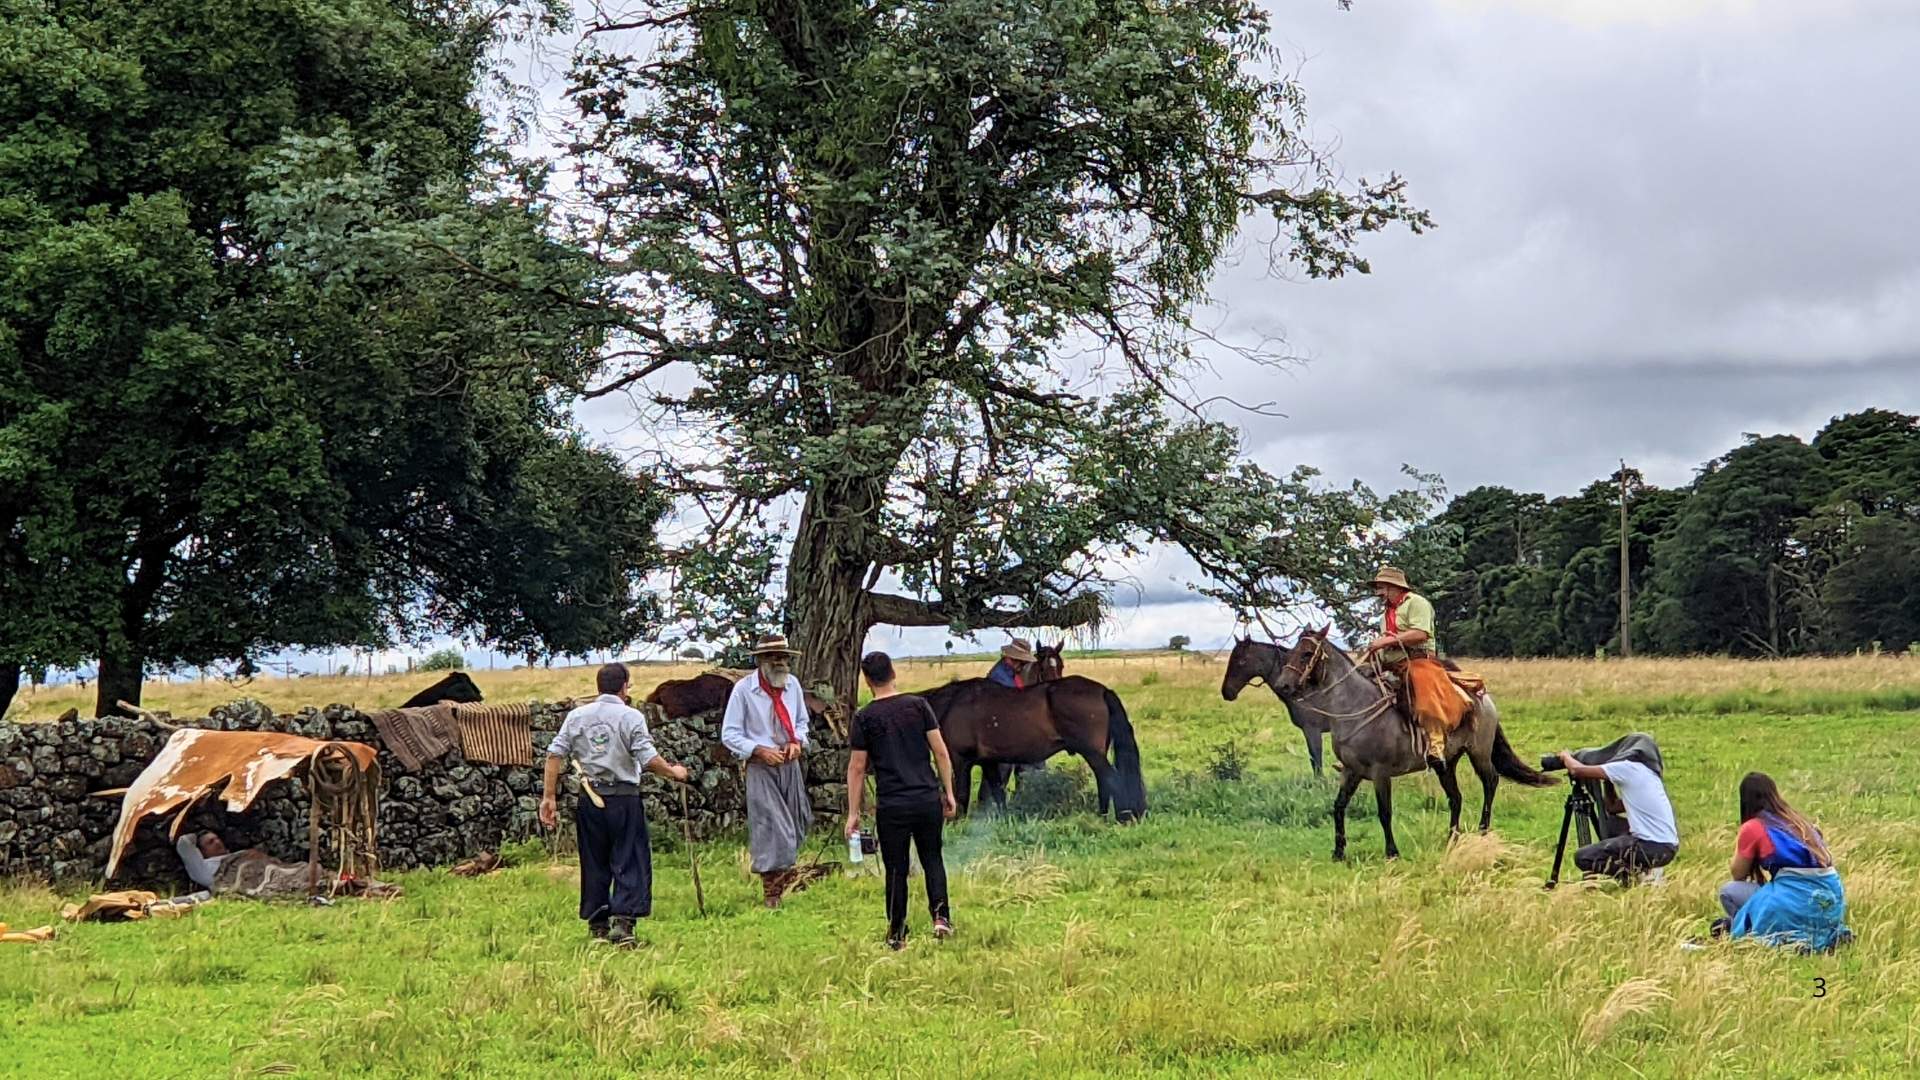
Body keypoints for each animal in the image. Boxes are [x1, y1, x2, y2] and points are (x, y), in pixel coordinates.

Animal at [925, 672, 1144, 814]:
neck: (951, 703)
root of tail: (1103, 691)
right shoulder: (988, 762)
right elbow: (998, 792)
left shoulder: (960, 760)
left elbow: (961, 796)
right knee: (1104, 781)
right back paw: (1103, 815)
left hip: (1093, 753)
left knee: (1112, 780)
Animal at [1259, 622, 1559, 857]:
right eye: (1292, 651)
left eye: (1307, 653)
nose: (1283, 685)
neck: (1353, 709)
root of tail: (1482, 697)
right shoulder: (1351, 771)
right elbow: (1338, 806)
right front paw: (1339, 851)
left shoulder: (1380, 773)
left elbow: (1384, 812)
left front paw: (1391, 852)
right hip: (1446, 762)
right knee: (1456, 797)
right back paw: (1452, 838)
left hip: (1479, 753)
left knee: (1491, 782)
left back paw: (1483, 831)